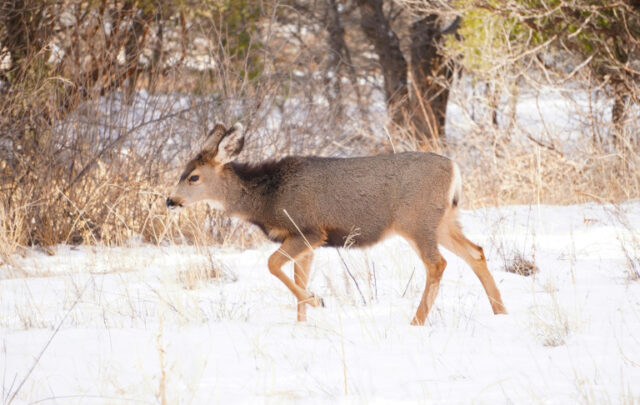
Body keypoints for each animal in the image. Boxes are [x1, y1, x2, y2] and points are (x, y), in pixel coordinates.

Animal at [168, 121, 508, 324]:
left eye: (193, 176)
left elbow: (272, 265)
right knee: (476, 252)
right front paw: (303, 322)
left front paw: (317, 300)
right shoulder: (305, 241)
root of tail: (455, 169)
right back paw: (500, 312)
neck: (267, 198)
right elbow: (297, 275)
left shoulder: (308, 231)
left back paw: (416, 321)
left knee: (437, 264)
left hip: (416, 220)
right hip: (444, 220)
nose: (170, 201)